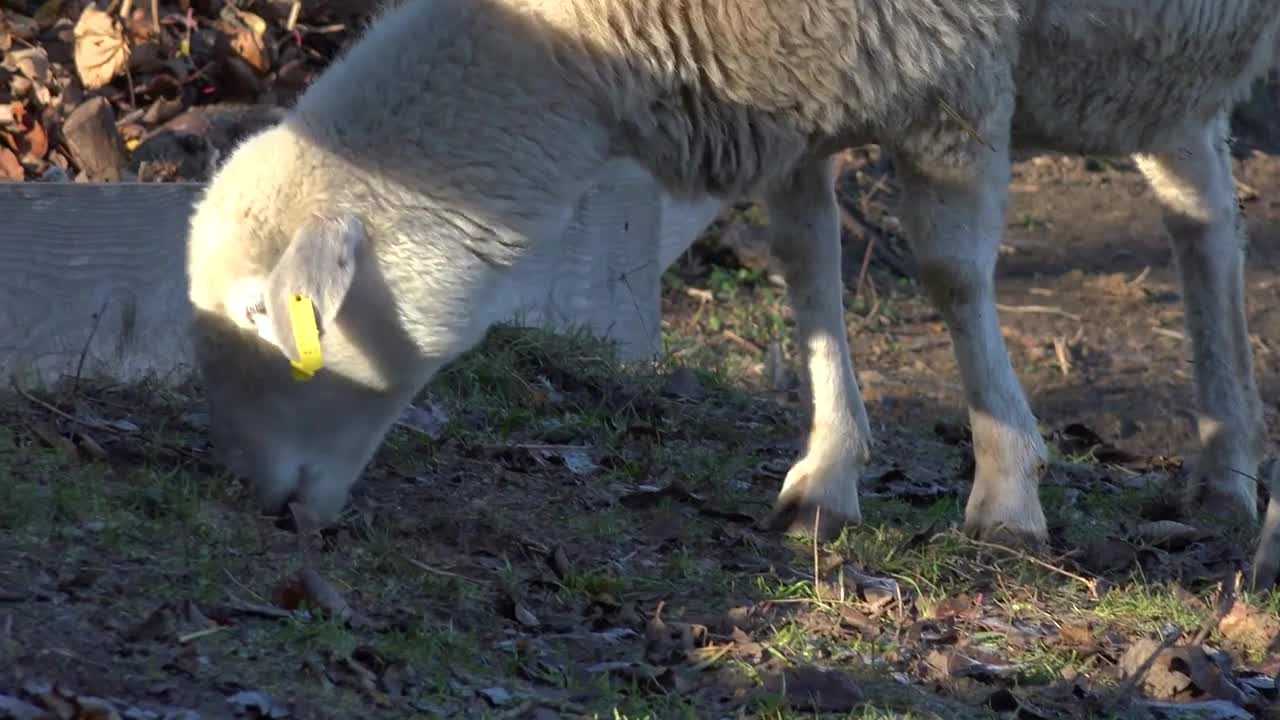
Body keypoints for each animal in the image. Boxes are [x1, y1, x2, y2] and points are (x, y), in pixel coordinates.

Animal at [185, 0, 1280, 586]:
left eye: (266, 318)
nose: (262, 504)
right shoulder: (799, 92)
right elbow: (806, 266)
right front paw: (826, 476)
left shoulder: (947, 77)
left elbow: (951, 275)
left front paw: (1006, 492)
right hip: (1156, 62)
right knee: (1202, 211)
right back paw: (1225, 466)